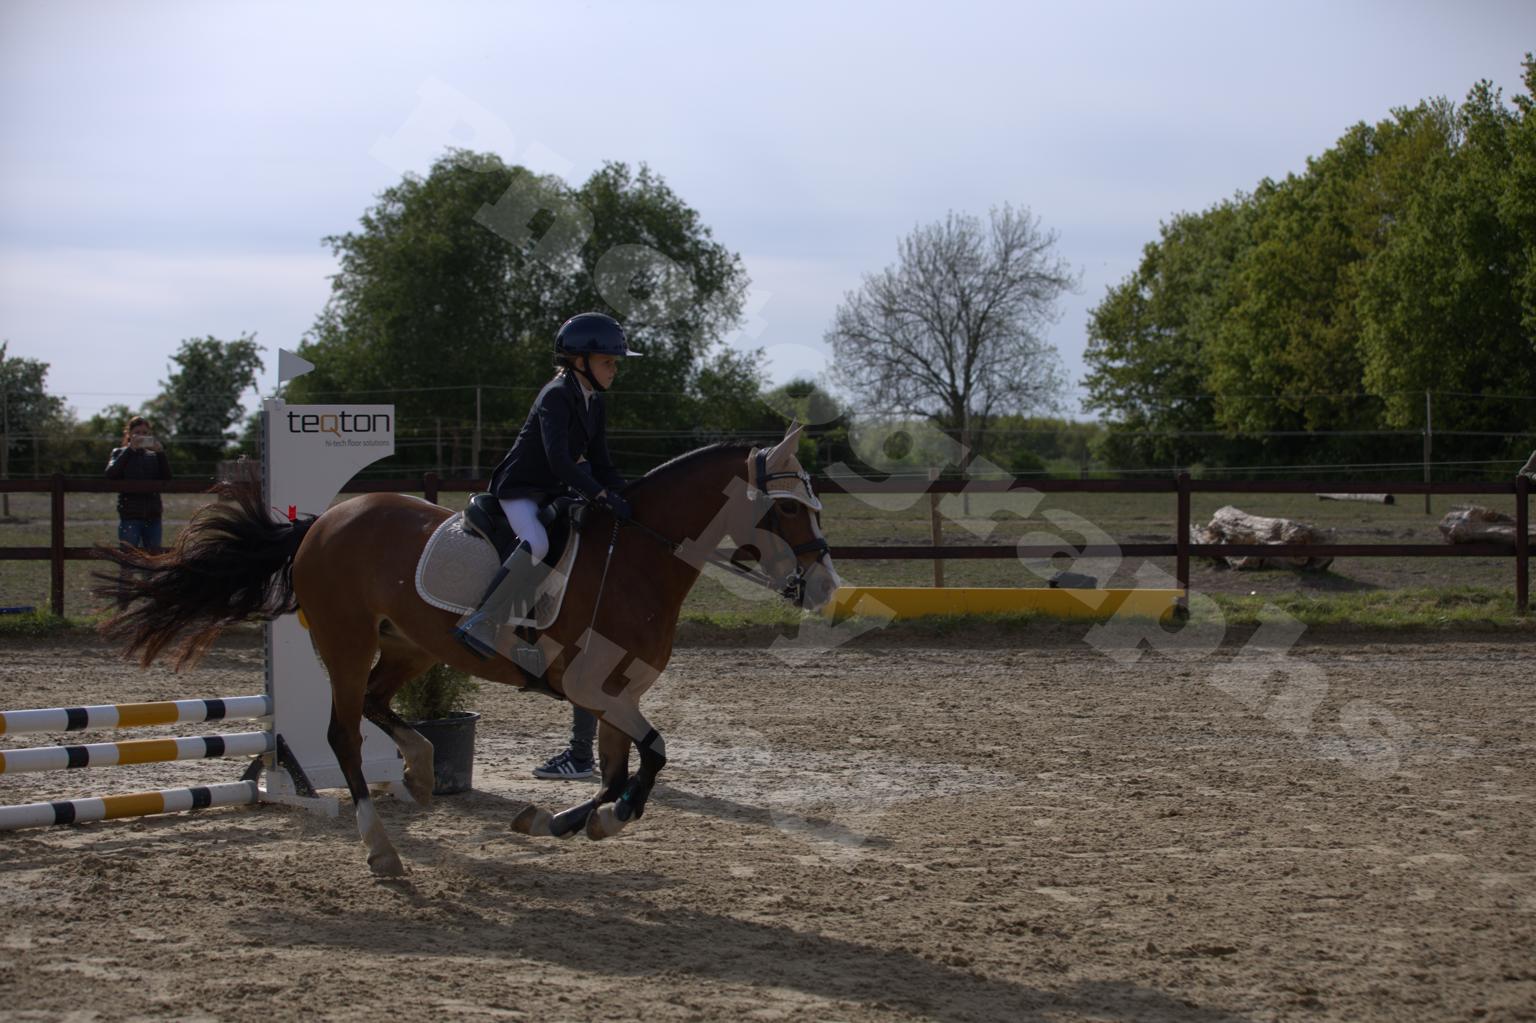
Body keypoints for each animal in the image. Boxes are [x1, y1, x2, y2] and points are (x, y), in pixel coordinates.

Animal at [98, 423, 841, 876]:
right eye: (789, 508)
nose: (827, 588)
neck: (639, 558)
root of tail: (324, 521)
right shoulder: (592, 688)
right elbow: (650, 759)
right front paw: (605, 820)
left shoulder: (617, 694)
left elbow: (616, 769)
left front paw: (557, 821)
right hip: (346, 641)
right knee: (343, 733)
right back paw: (382, 850)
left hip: (412, 645)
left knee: (379, 705)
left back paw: (424, 771)